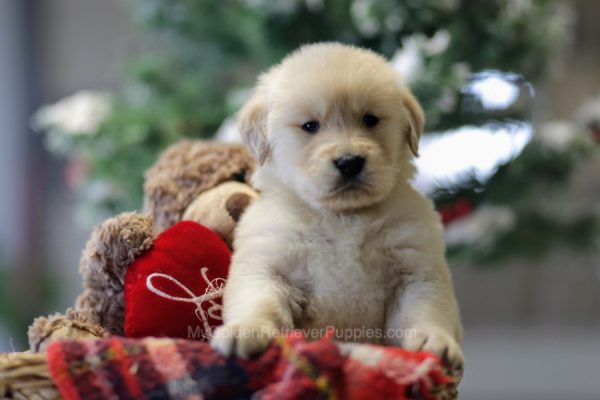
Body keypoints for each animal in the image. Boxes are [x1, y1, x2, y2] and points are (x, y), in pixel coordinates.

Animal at [211, 42, 464, 368]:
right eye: (310, 126)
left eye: (370, 120)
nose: (349, 162)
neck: (342, 217)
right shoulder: (268, 265)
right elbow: (259, 302)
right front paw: (246, 330)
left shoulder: (416, 272)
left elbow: (425, 311)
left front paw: (434, 340)